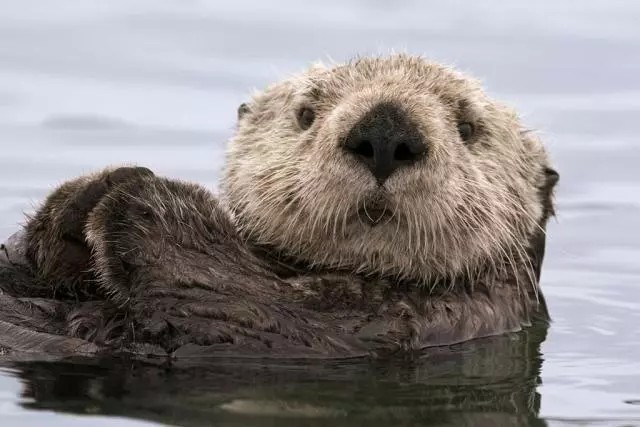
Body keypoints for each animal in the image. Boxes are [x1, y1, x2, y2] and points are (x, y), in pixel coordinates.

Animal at [0, 54, 560, 362]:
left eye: (468, 128)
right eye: (306, 113)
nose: (385, 133)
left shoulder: (399, 324)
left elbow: (237, 304)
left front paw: (144, 200)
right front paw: (90, 194)